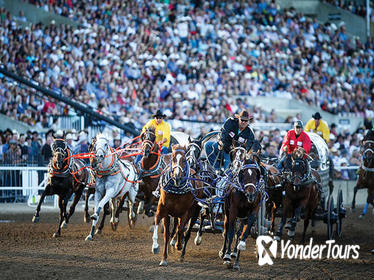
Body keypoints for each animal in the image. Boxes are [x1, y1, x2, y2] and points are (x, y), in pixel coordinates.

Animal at [219, 142, 262, 272]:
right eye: (243, 173)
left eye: (257, 173)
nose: (251, 194)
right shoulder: (233, 211)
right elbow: (230, 232)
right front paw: (227, 256)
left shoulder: (253, 211)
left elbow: (243, 234)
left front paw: (240, 249)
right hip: (227, 211)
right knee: (227, 228)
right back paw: (224, 252)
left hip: (242, 217)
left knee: (238, 232)